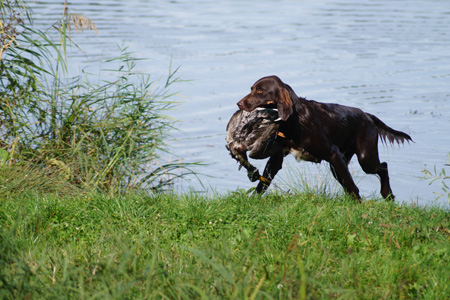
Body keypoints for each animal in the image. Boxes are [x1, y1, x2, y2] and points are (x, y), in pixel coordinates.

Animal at [229, 75, 412, 202]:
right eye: (252, 88)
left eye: (260, 91)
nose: (239, 104)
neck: (295, 121)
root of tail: (367, 116)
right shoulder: (276, 158)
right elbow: (263, 182)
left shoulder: (332, 153)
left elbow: (352, 186)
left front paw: (359, 206)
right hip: (342, 163)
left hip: (365, 158)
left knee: (383, 167)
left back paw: (387, 194)